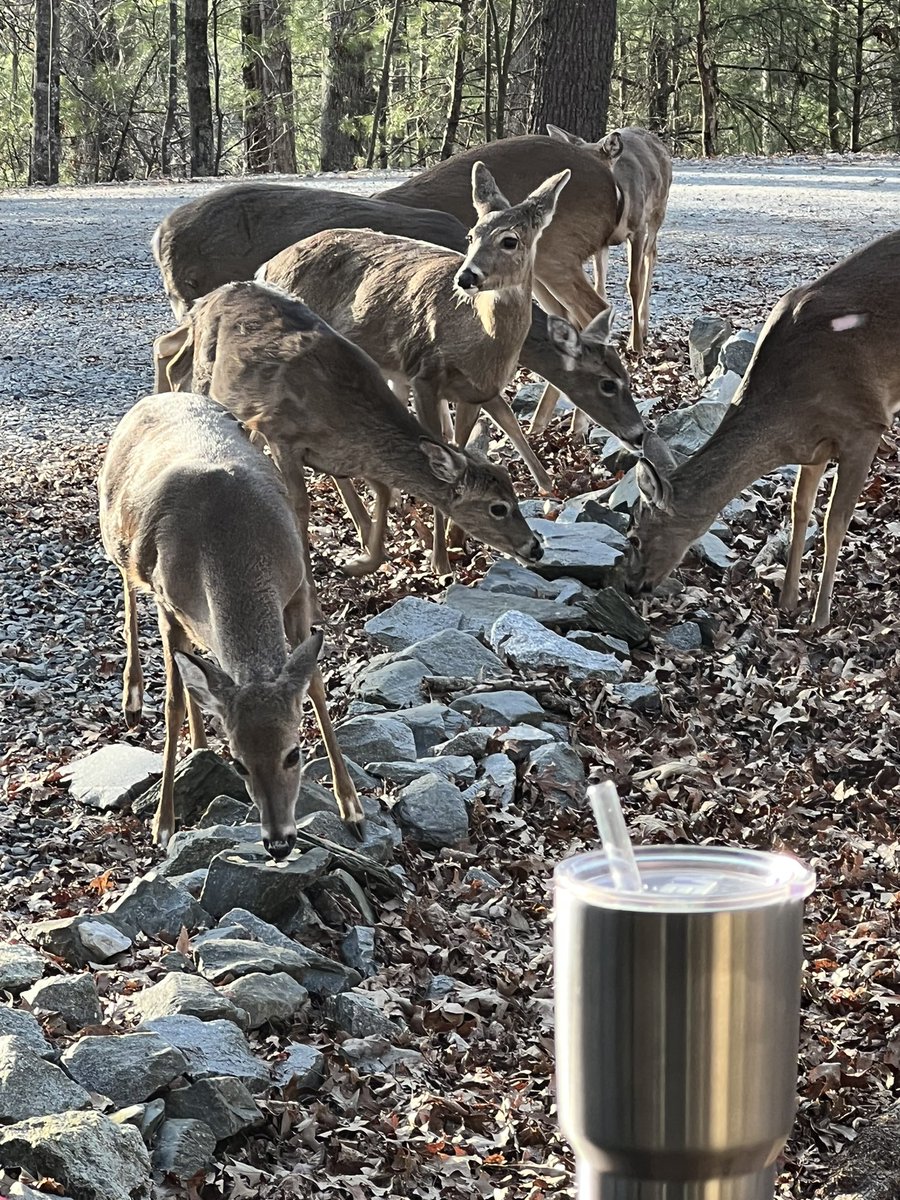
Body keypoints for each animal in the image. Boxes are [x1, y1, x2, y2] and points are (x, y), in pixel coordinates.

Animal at [98, 391, 361, 855]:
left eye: (294, 753)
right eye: (239, 764)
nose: (279, 842)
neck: (231, 540)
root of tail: (157, 396)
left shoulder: (296, 587)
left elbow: (313, 683)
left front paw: (352, 808)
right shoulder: (168, 603)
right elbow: (173, 702)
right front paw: (163, 824)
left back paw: (200, 744)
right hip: (119, 542)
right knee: (129, 588)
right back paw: (133, 698)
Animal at [153, 281, 543, 581]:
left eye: (514, 496)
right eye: (498, 507)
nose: (535, 547)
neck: (351, 418)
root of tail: (206, 298)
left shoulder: (347, 456)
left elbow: (384, 491)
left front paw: (359, 562)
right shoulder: (280, 433)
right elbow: (301, 506)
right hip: (208, 373)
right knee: (177, 368)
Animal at [257, 162, 570, 573]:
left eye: (510, 240)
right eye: (471, 234)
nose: (466, 277)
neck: (482, 343)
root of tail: (266, 266)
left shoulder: (472, 393)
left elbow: (463, 450)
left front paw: (457, 539)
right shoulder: (425, 377)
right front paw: (441, 562)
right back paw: (364, 533)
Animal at [624, 230, 900, 630]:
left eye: (633, 537)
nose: (630, 586)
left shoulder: (864, 426)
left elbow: (835, 522)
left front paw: (819, 617)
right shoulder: (813, 445)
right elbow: (800, 509)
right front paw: (788, 600)